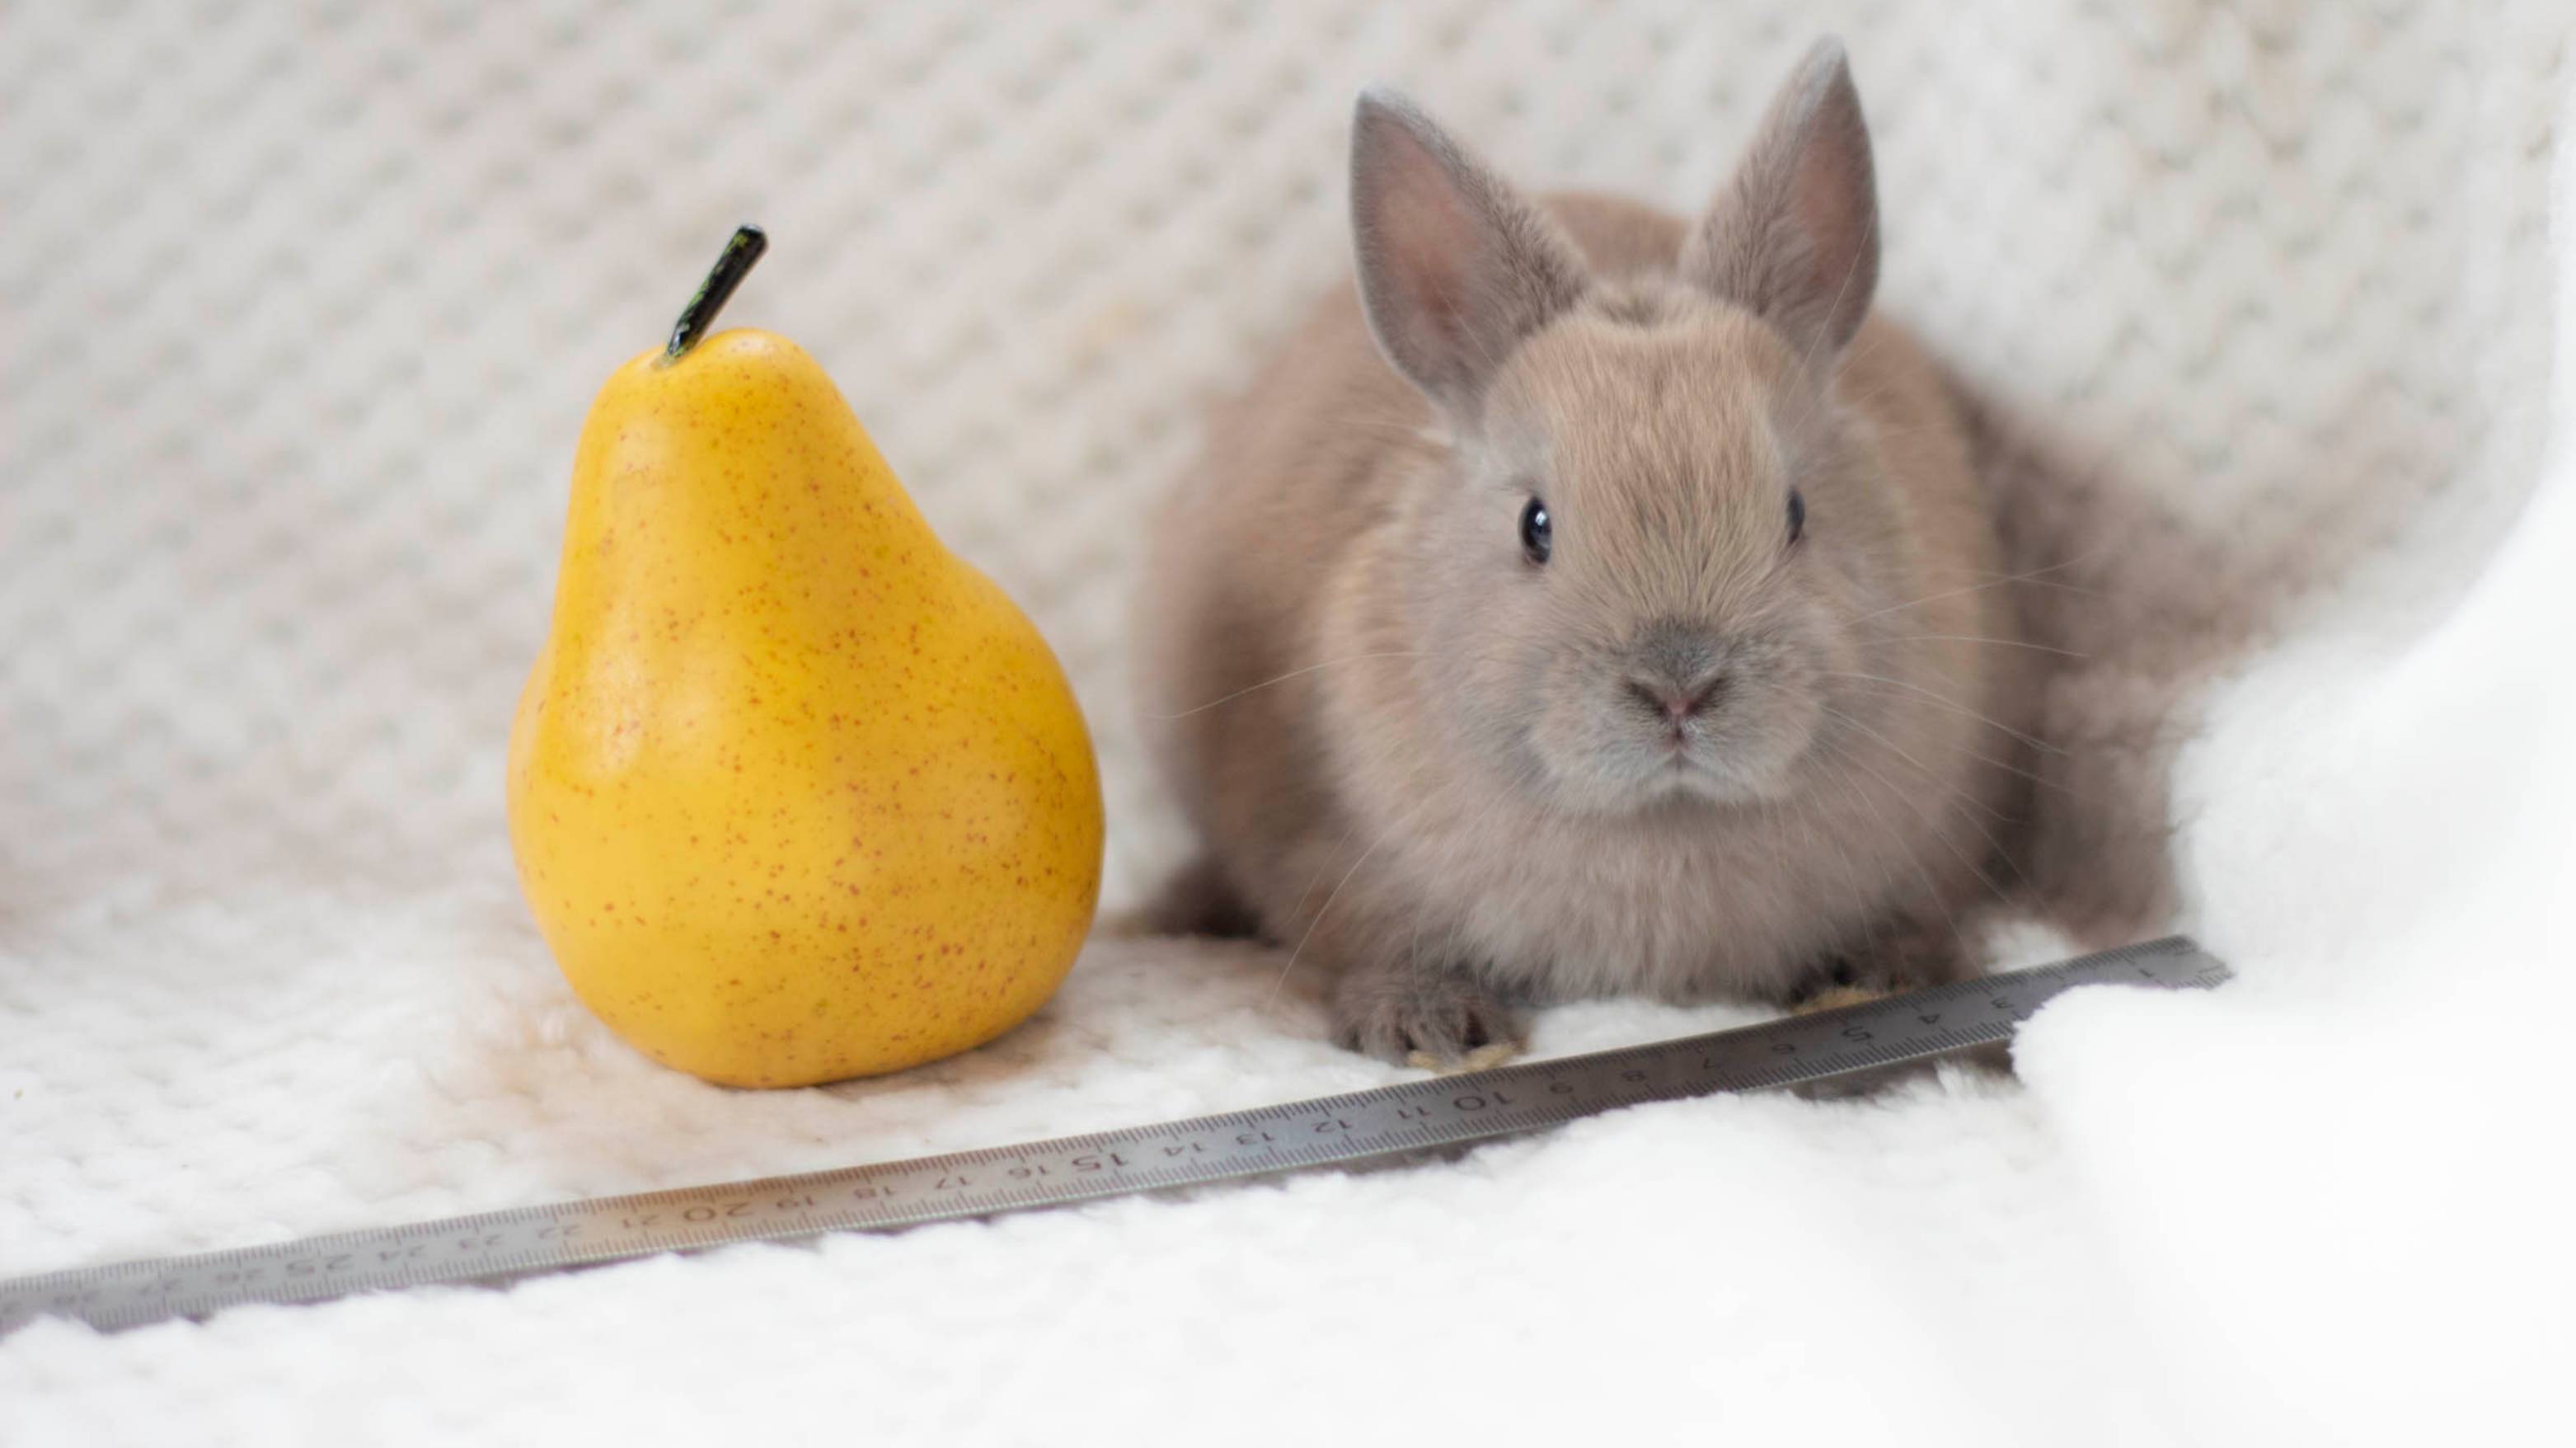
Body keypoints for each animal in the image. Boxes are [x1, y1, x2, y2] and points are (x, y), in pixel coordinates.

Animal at [1128, 39, 2029, 1061]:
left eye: (1797, 511)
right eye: (1536, 526)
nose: (1678, 687)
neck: (1662, 818)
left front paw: (1875, 971)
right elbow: (1373, 941)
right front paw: (1425, 1025)